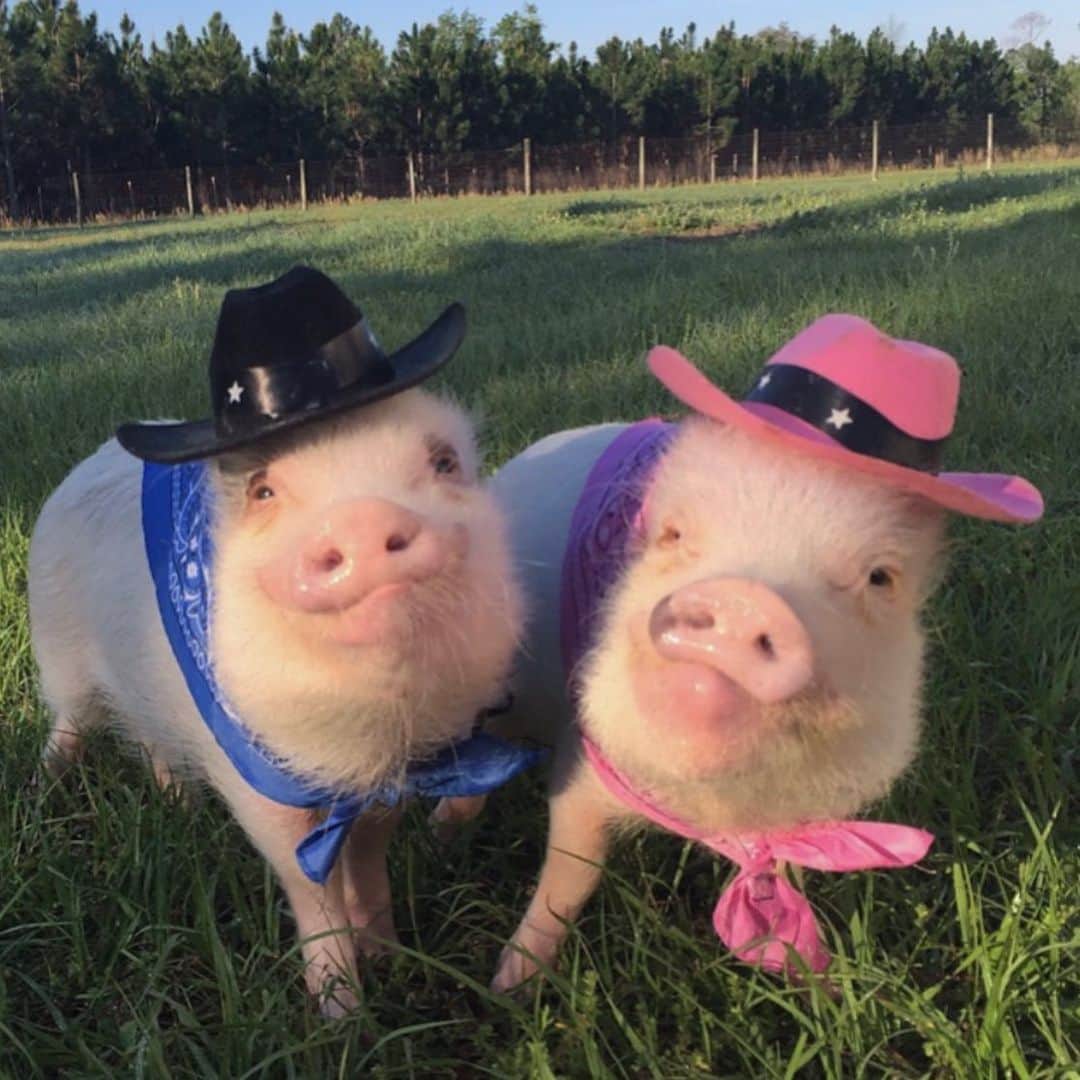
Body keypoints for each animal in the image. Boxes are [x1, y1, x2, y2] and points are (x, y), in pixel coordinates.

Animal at [29, 388, 524, 1015]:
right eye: (263, 491)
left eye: (444, 462)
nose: (362, 516)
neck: (364, 738)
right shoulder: (256, 780)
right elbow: (305, 879)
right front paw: (342, 1014)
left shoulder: (396, 779)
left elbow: (368, 853)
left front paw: (390, 956)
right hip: (58, 647)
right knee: (69, 721)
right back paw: (42, 788)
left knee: (152, 744)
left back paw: (180, 808)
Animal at [434, 316, 1043, 990]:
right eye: (672, 534)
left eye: (880, 577)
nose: (746, 599)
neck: (717, 806)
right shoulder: (587, 754)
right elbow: (570, 871)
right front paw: (511, 987)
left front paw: (819, 985)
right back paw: (446, 830)